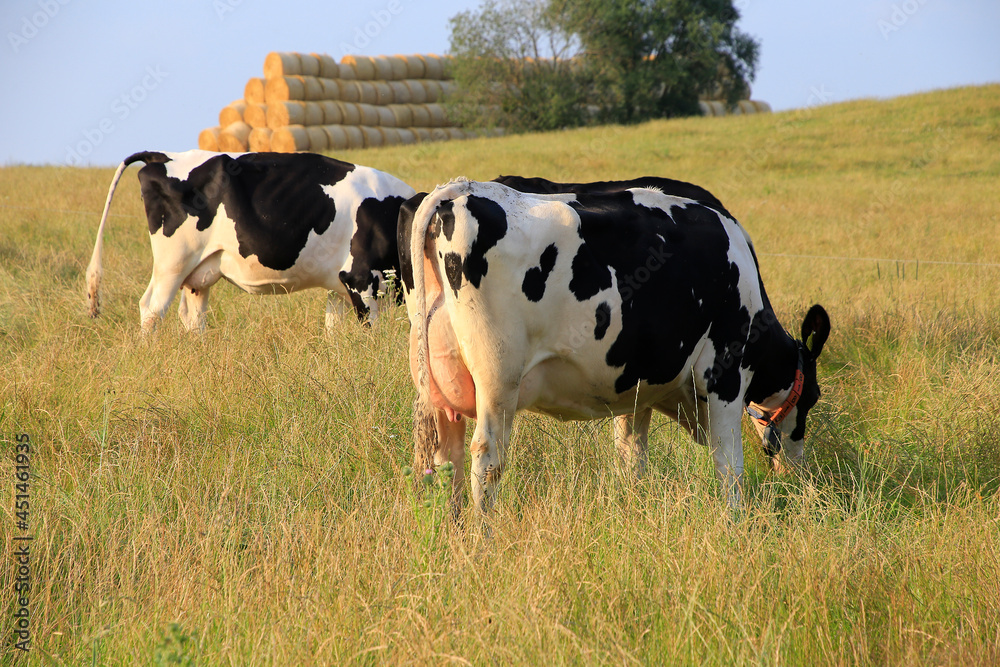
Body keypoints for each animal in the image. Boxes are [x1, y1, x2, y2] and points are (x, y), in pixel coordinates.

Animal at [86, 149, 414, 332]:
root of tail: (162, 155)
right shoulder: (361, 279)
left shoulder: (338, 285)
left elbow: (332, 330)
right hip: (173, 261)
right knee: (152, 309)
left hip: (198, 271)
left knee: (192, 317)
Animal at [398, 177, 828, 512]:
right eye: (812, 398)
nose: (797, 470)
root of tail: (460, 189)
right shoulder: (724, 373)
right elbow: (729, 467)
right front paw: (734, 522)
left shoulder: (636, 389)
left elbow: (631, 456)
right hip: (498, 377)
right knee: (487, 459)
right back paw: (483, 539)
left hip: (436, 384)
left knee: (443, 458)